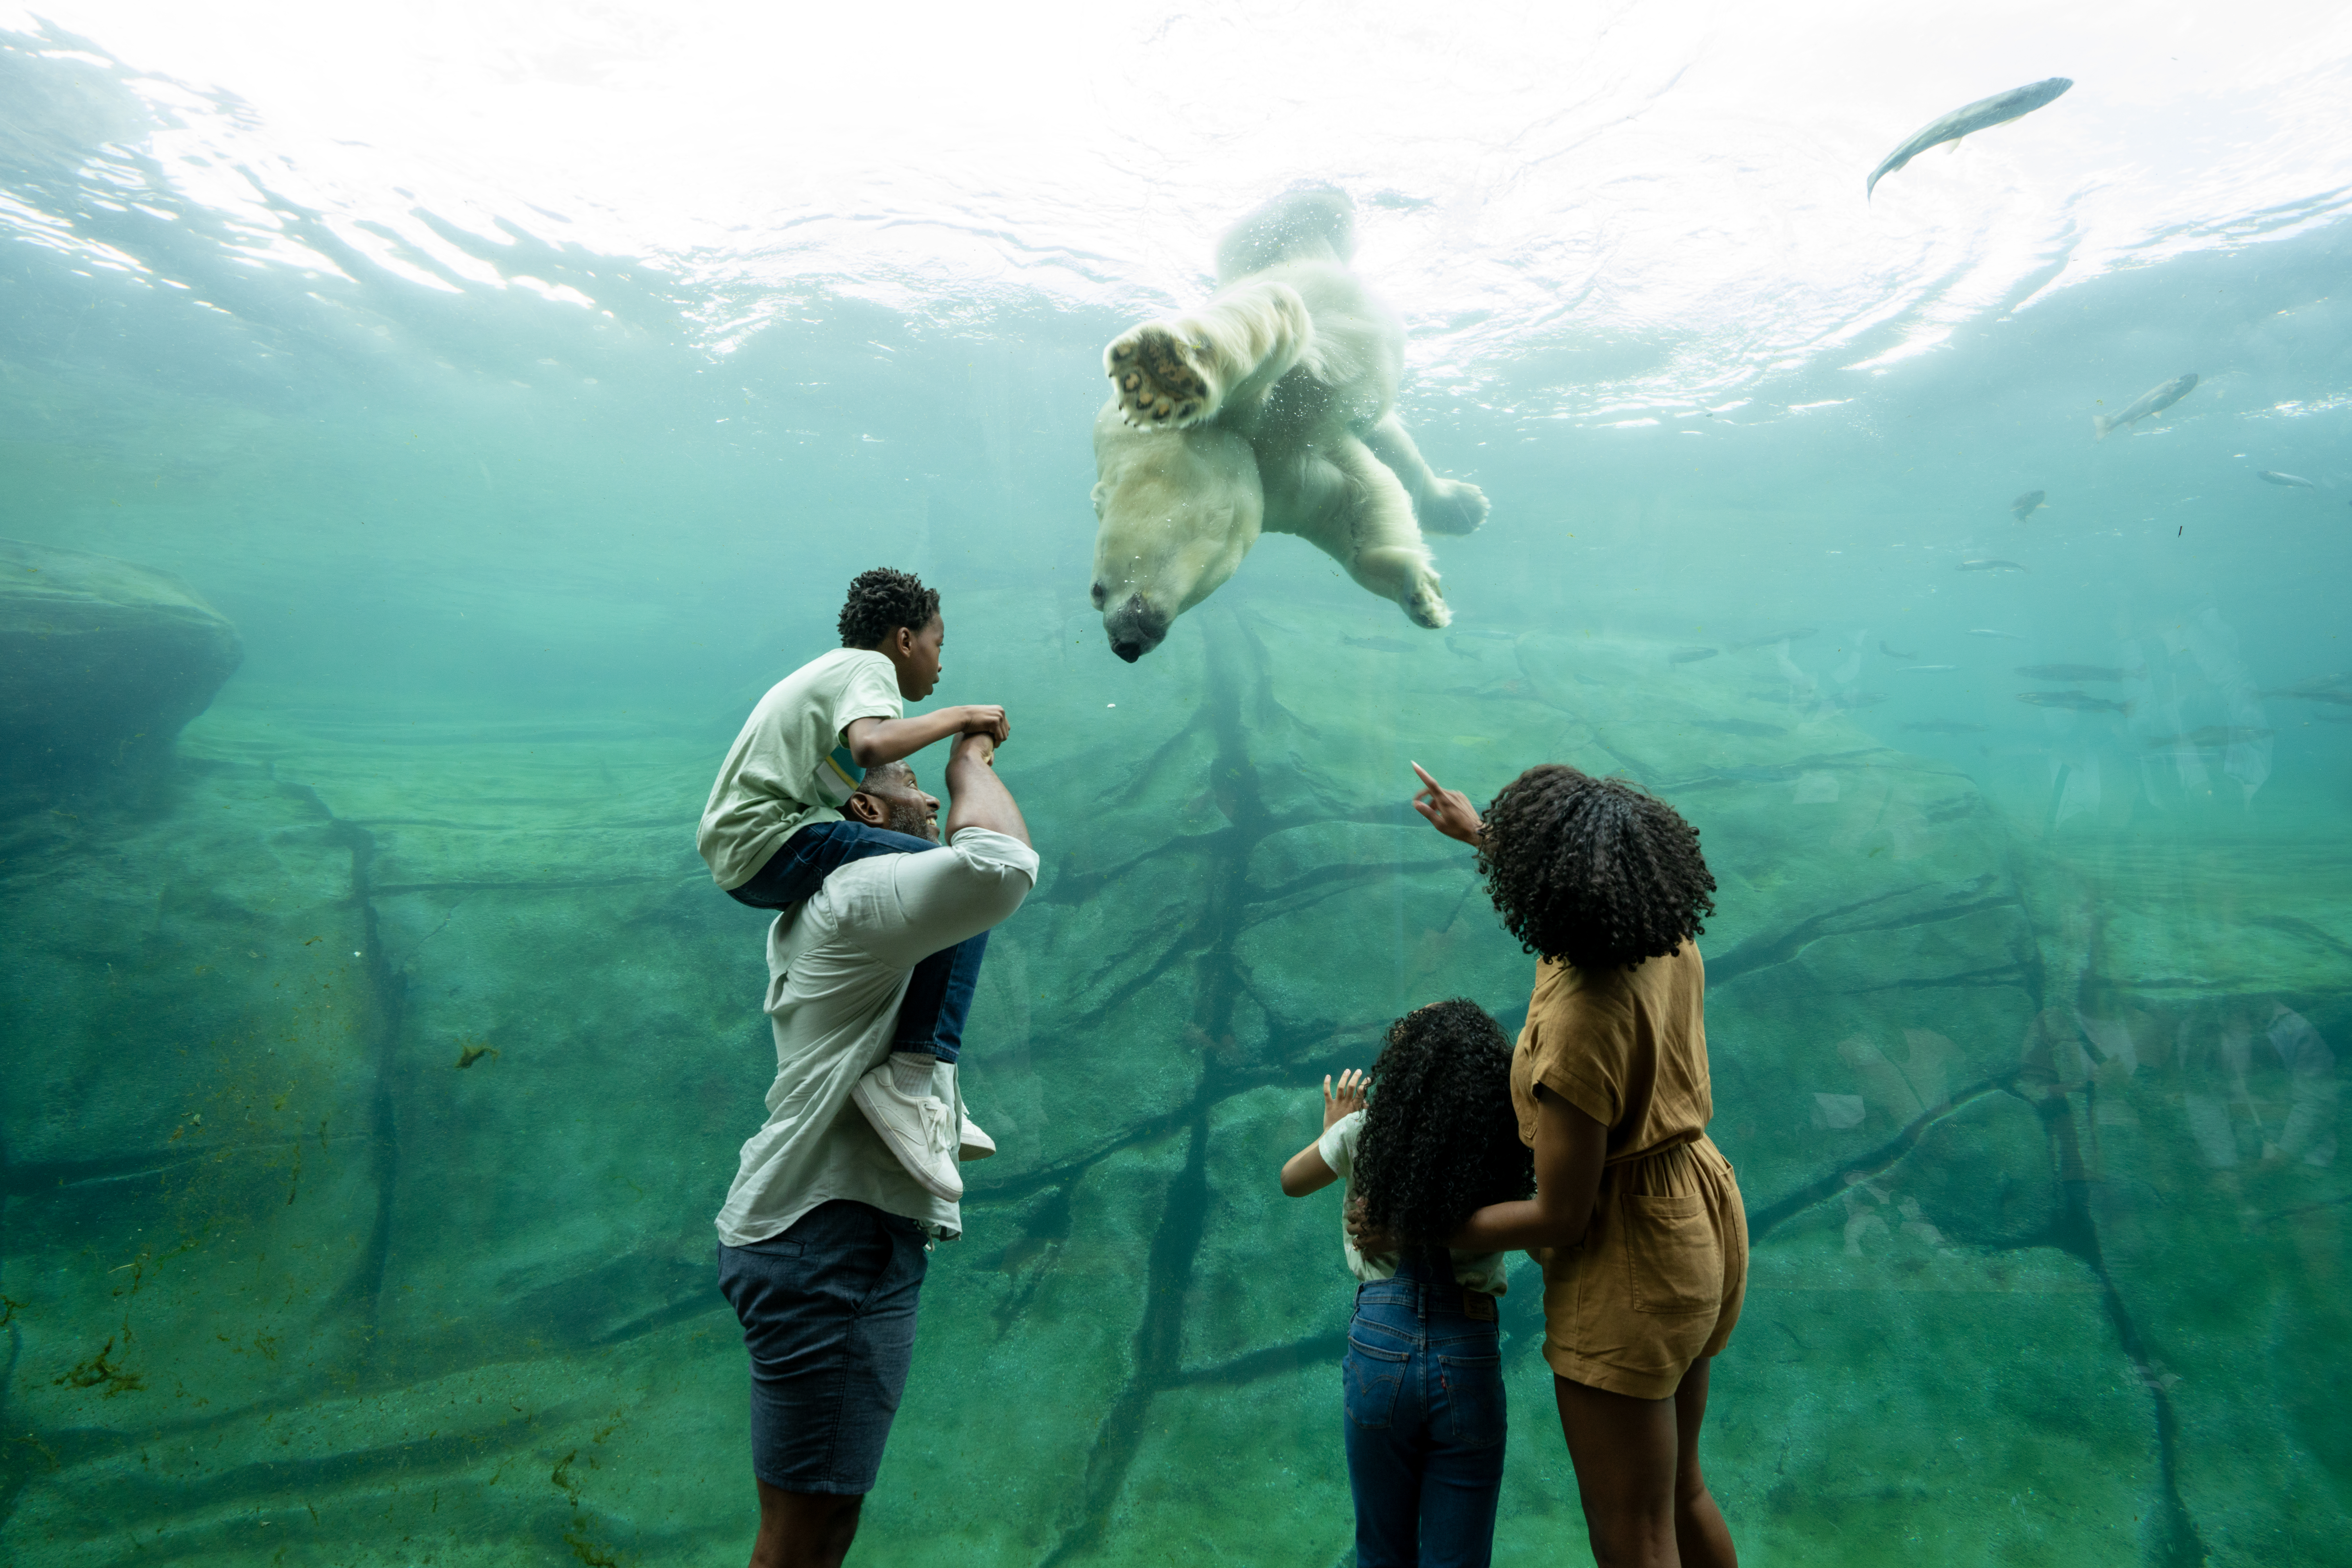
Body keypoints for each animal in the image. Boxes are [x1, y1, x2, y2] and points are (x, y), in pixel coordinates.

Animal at [1087, 187, 1488, 662]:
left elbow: (1269, 315)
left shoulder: (1248, 416)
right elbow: (1355, 506)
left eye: (1097, 590)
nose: (1124, 646)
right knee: (1391, 443)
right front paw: (1423, 596)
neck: (1242, 443)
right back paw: (1465, 507)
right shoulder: (1278, 482)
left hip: (1282, 247)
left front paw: (1160, 370)